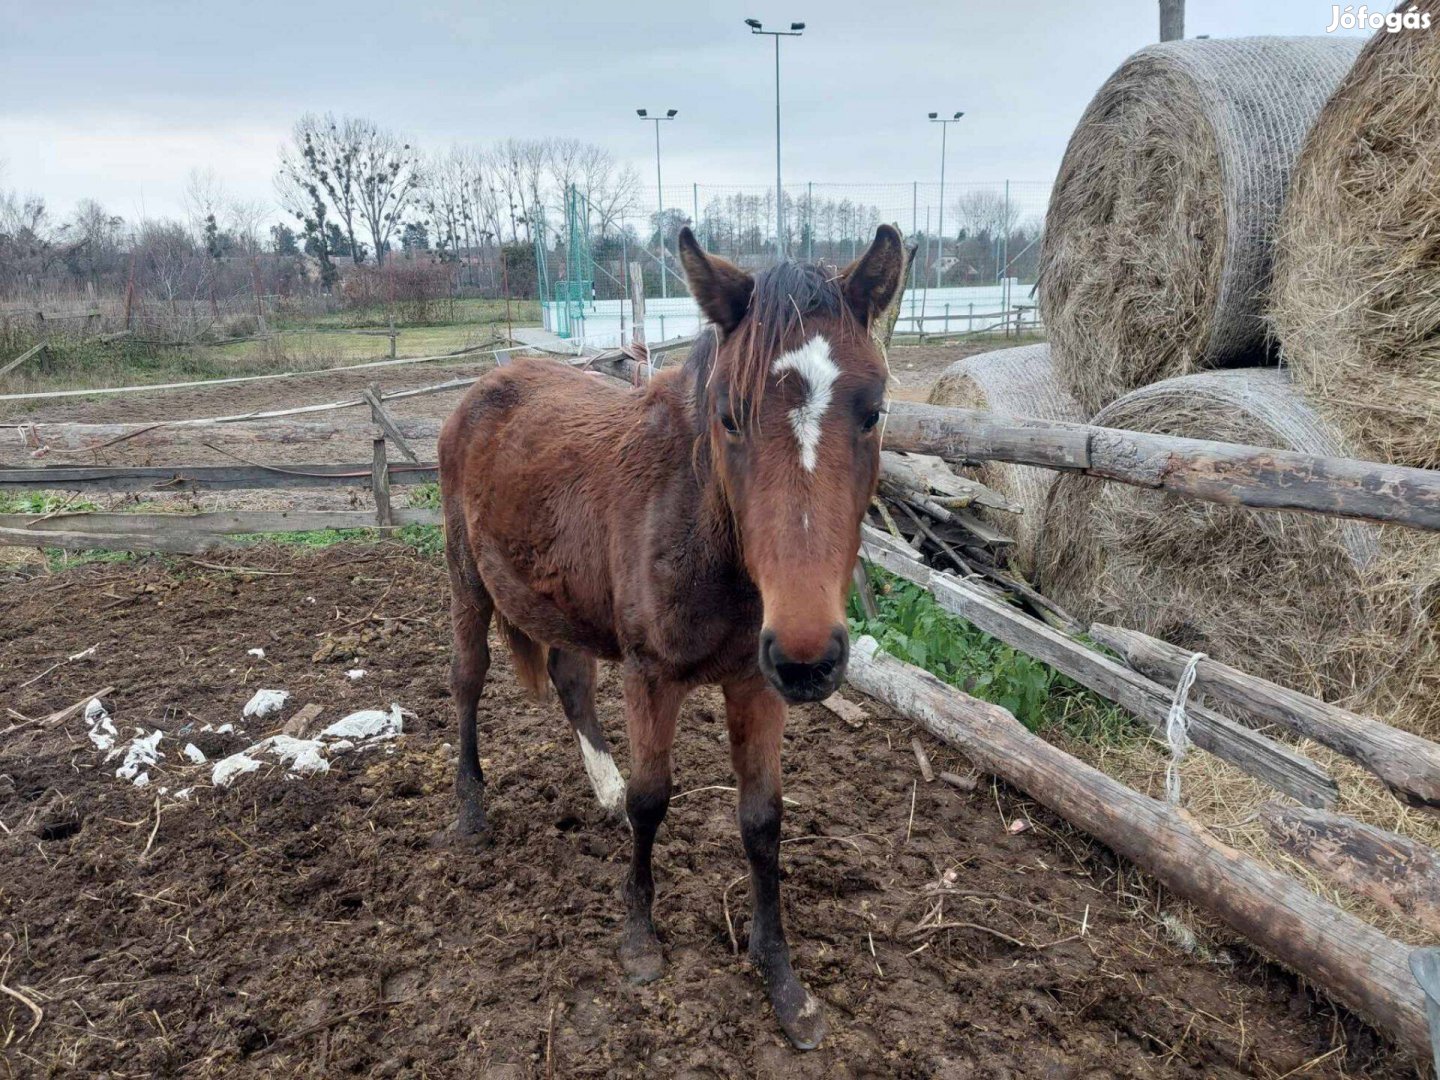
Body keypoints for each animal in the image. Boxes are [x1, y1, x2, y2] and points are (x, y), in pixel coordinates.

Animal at [440, 226, 898, 1048]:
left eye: (873, 411)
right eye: (729, 416)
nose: (810, 658)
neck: (700, 526)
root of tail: (483, 389)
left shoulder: (756, 683)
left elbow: (762, 819)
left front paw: (782, 980)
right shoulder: (651, 676)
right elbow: (655, 800)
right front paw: (639, 940)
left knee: (570, 680)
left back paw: (603, 788)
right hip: (468, 583)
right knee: (467, 680)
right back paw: (472, 812)